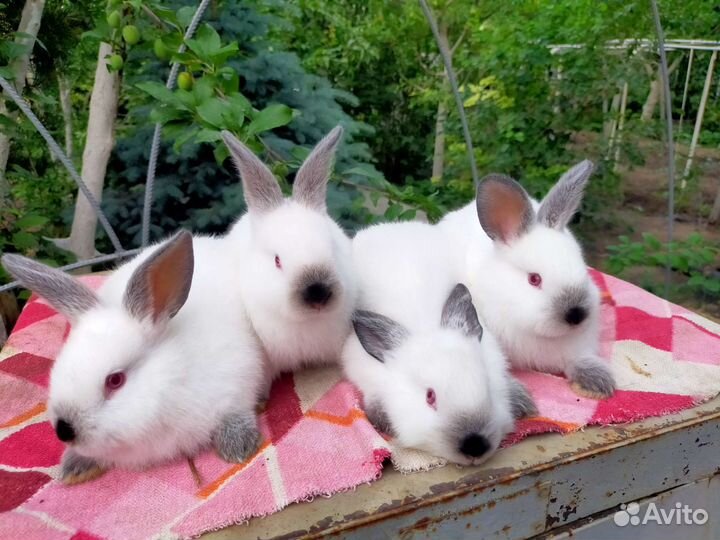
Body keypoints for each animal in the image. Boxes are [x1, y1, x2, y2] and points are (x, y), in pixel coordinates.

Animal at [2, 231, 264, 484]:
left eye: (115, 380)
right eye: (58, 370)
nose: (65, 431)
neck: (171, 380)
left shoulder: (237, 385)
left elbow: (236, 413)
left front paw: (237, 447)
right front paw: (74, 468)